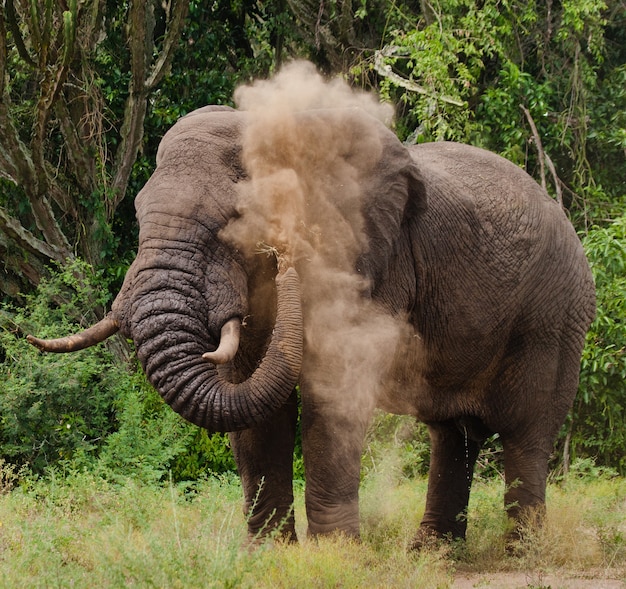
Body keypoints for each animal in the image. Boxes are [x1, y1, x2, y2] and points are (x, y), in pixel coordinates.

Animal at [28, 93, 596, 548]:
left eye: (233, 223)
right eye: (139, 214)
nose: (281, 254)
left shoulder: (363, 260)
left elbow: (332, 394)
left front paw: (334, 555)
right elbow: (252, 404)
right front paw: (268, 555)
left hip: (553, 318)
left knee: (527, 431)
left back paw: (521, 553)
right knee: (452, 434)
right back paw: (432, 554)